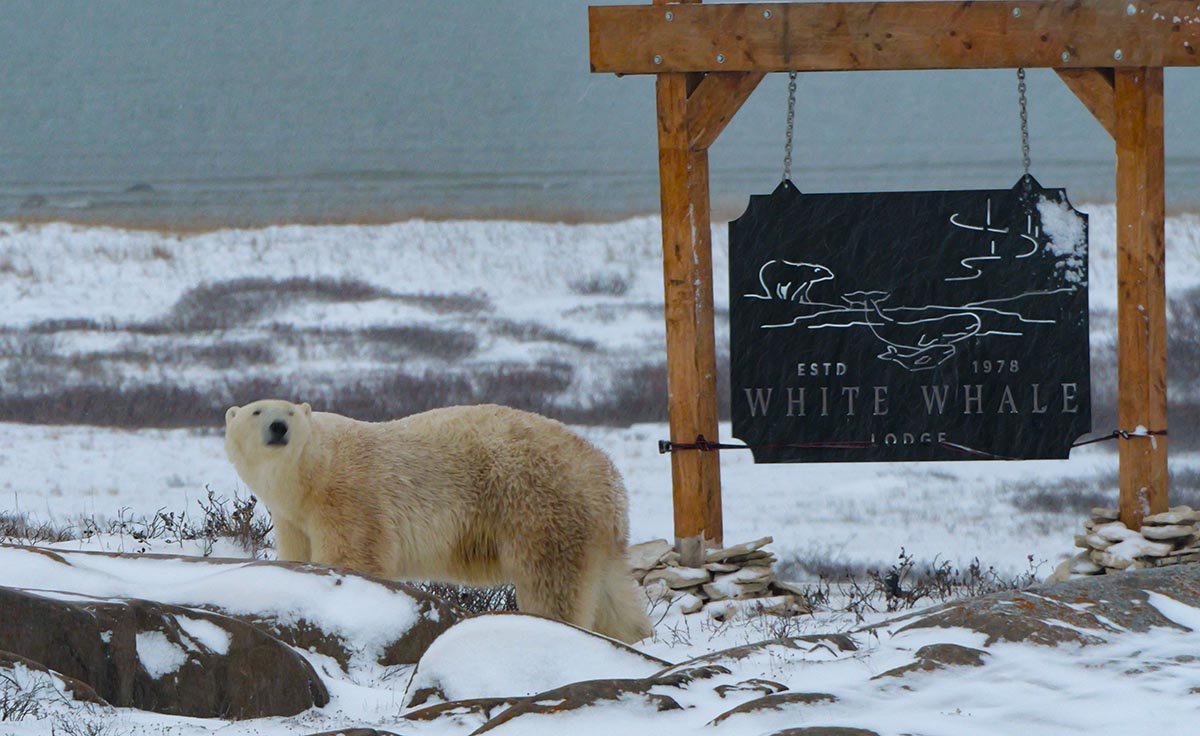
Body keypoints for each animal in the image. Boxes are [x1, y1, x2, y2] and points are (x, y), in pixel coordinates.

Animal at [224, 400, 653, 644]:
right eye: (257, 411)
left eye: (290, 412)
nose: (279, 427)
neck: (312, 471)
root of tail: (605, 473)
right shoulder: (292, 516)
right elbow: (297, 551)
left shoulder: (348, 496)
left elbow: (354, 554)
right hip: (593, 527)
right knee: (612, 593)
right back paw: (633, 636)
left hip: (541, 506)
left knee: (552, 581)